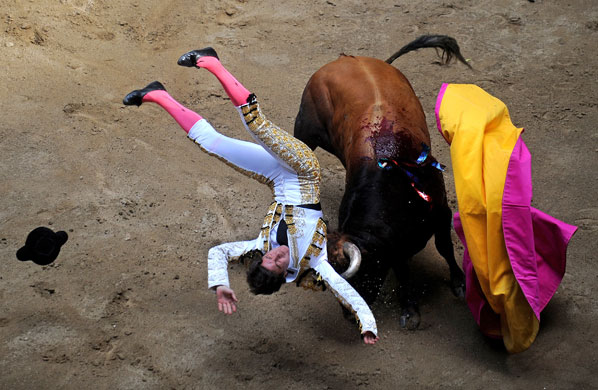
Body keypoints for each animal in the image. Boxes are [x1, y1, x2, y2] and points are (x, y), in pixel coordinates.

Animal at [292, 35, 472, 330]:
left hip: (304, 128)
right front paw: (409, 308)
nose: (350, 316)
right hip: (309, 131)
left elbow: (444, 247)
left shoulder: (441, 212)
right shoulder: (394, 245)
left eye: (360, 275)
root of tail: (346, 59)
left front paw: (459, 283)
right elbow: (402, 271)